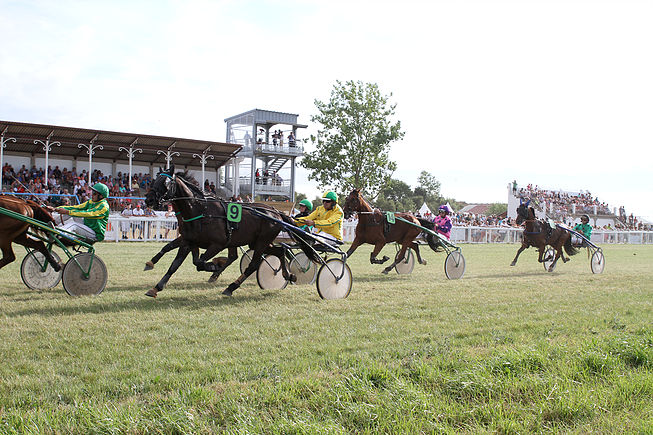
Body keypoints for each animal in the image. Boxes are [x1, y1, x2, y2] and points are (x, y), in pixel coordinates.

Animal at [144, 166, 320, 296]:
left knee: (253, 265)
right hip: (258, 242)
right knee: (280, 252)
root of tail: (275, 212)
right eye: (155, 179)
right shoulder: (188, 241)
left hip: (261, 242)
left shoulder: (218, 244)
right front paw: (156, 286)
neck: (201, 210)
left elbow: (199, 262)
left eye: (166, 182)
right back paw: (288, 275)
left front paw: (214, 266)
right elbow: (174, 264)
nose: (149, 199)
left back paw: (231, 287)